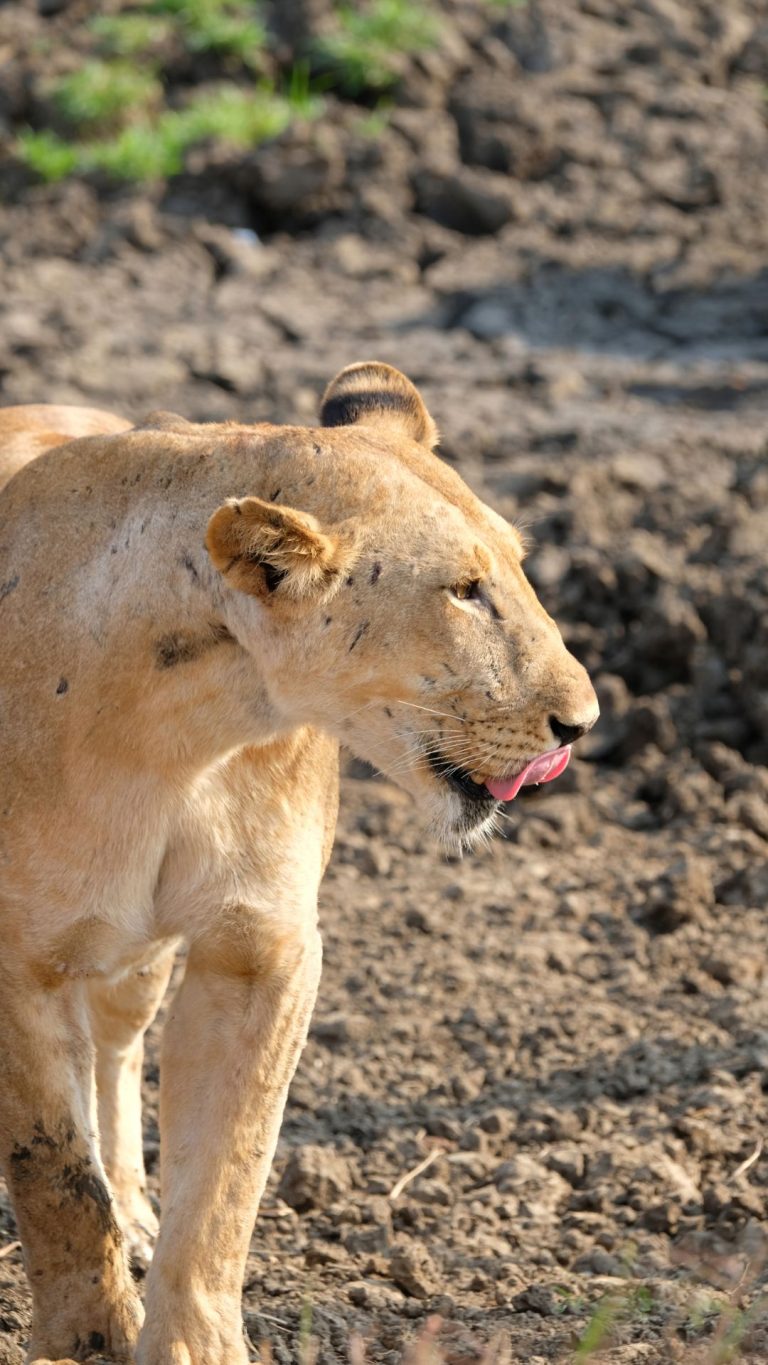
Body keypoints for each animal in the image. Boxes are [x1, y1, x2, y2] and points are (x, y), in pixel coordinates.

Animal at [0, 363, 598, 1365]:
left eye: (516, 565)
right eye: (464, 590)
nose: (581, 721)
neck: (181, 737)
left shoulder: (263, 949)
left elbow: (224, 1181)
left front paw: (191, 1343)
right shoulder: (14, 962)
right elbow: (53, 1172)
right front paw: (88, 1336)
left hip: (133, 961)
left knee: (114, 1056)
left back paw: (136, 1208)